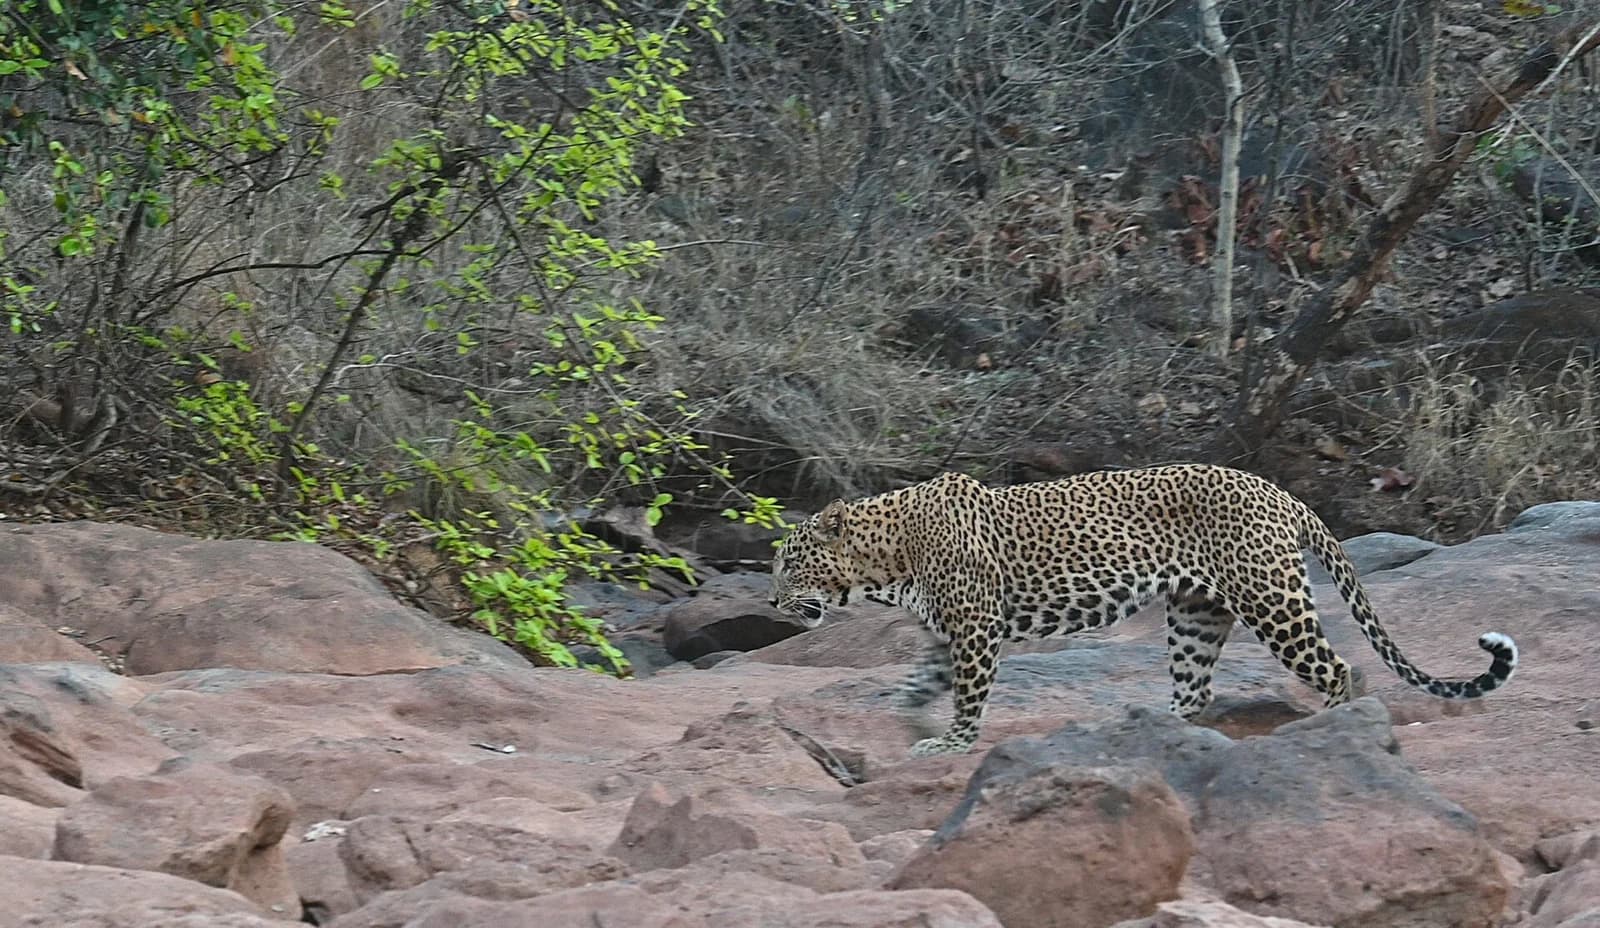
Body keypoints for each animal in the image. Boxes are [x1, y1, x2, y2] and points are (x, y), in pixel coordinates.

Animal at [768, 463, 1518, 756]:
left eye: (791, 563)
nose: (771, 599)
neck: (887, 559)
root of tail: (1279, 491)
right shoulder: (943, 633)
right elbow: (916, 686)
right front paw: (916, 727)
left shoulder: (976, 628)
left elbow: (968, 694)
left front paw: (951, 741)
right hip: (1195, 614)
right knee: (1196, 689)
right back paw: (1144, 731)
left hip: (1271, 600)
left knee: (1338, 669)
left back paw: (1330, 733)